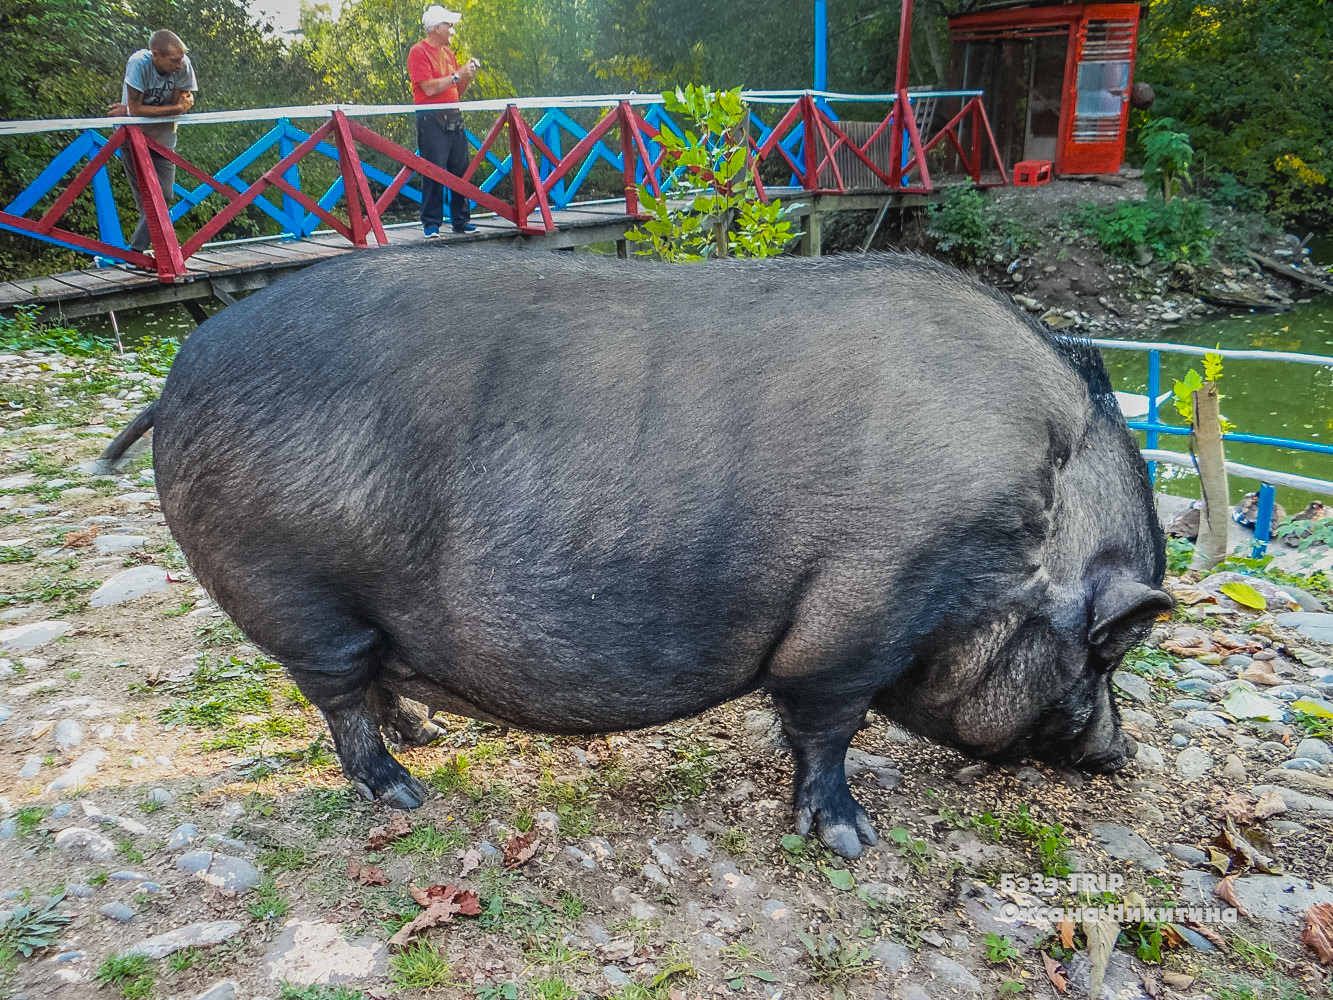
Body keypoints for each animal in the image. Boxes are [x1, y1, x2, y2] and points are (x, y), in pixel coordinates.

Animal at [101, 246, 1167, 858]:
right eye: (1106, 653)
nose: (1121, 754)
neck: (1022, 537)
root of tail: (175, 381)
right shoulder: (857, 623)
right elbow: (828, 730)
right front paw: (852, 842)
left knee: (370, 684)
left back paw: (430, 737)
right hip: (295, 594)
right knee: (337, 701)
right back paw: (406, 792)